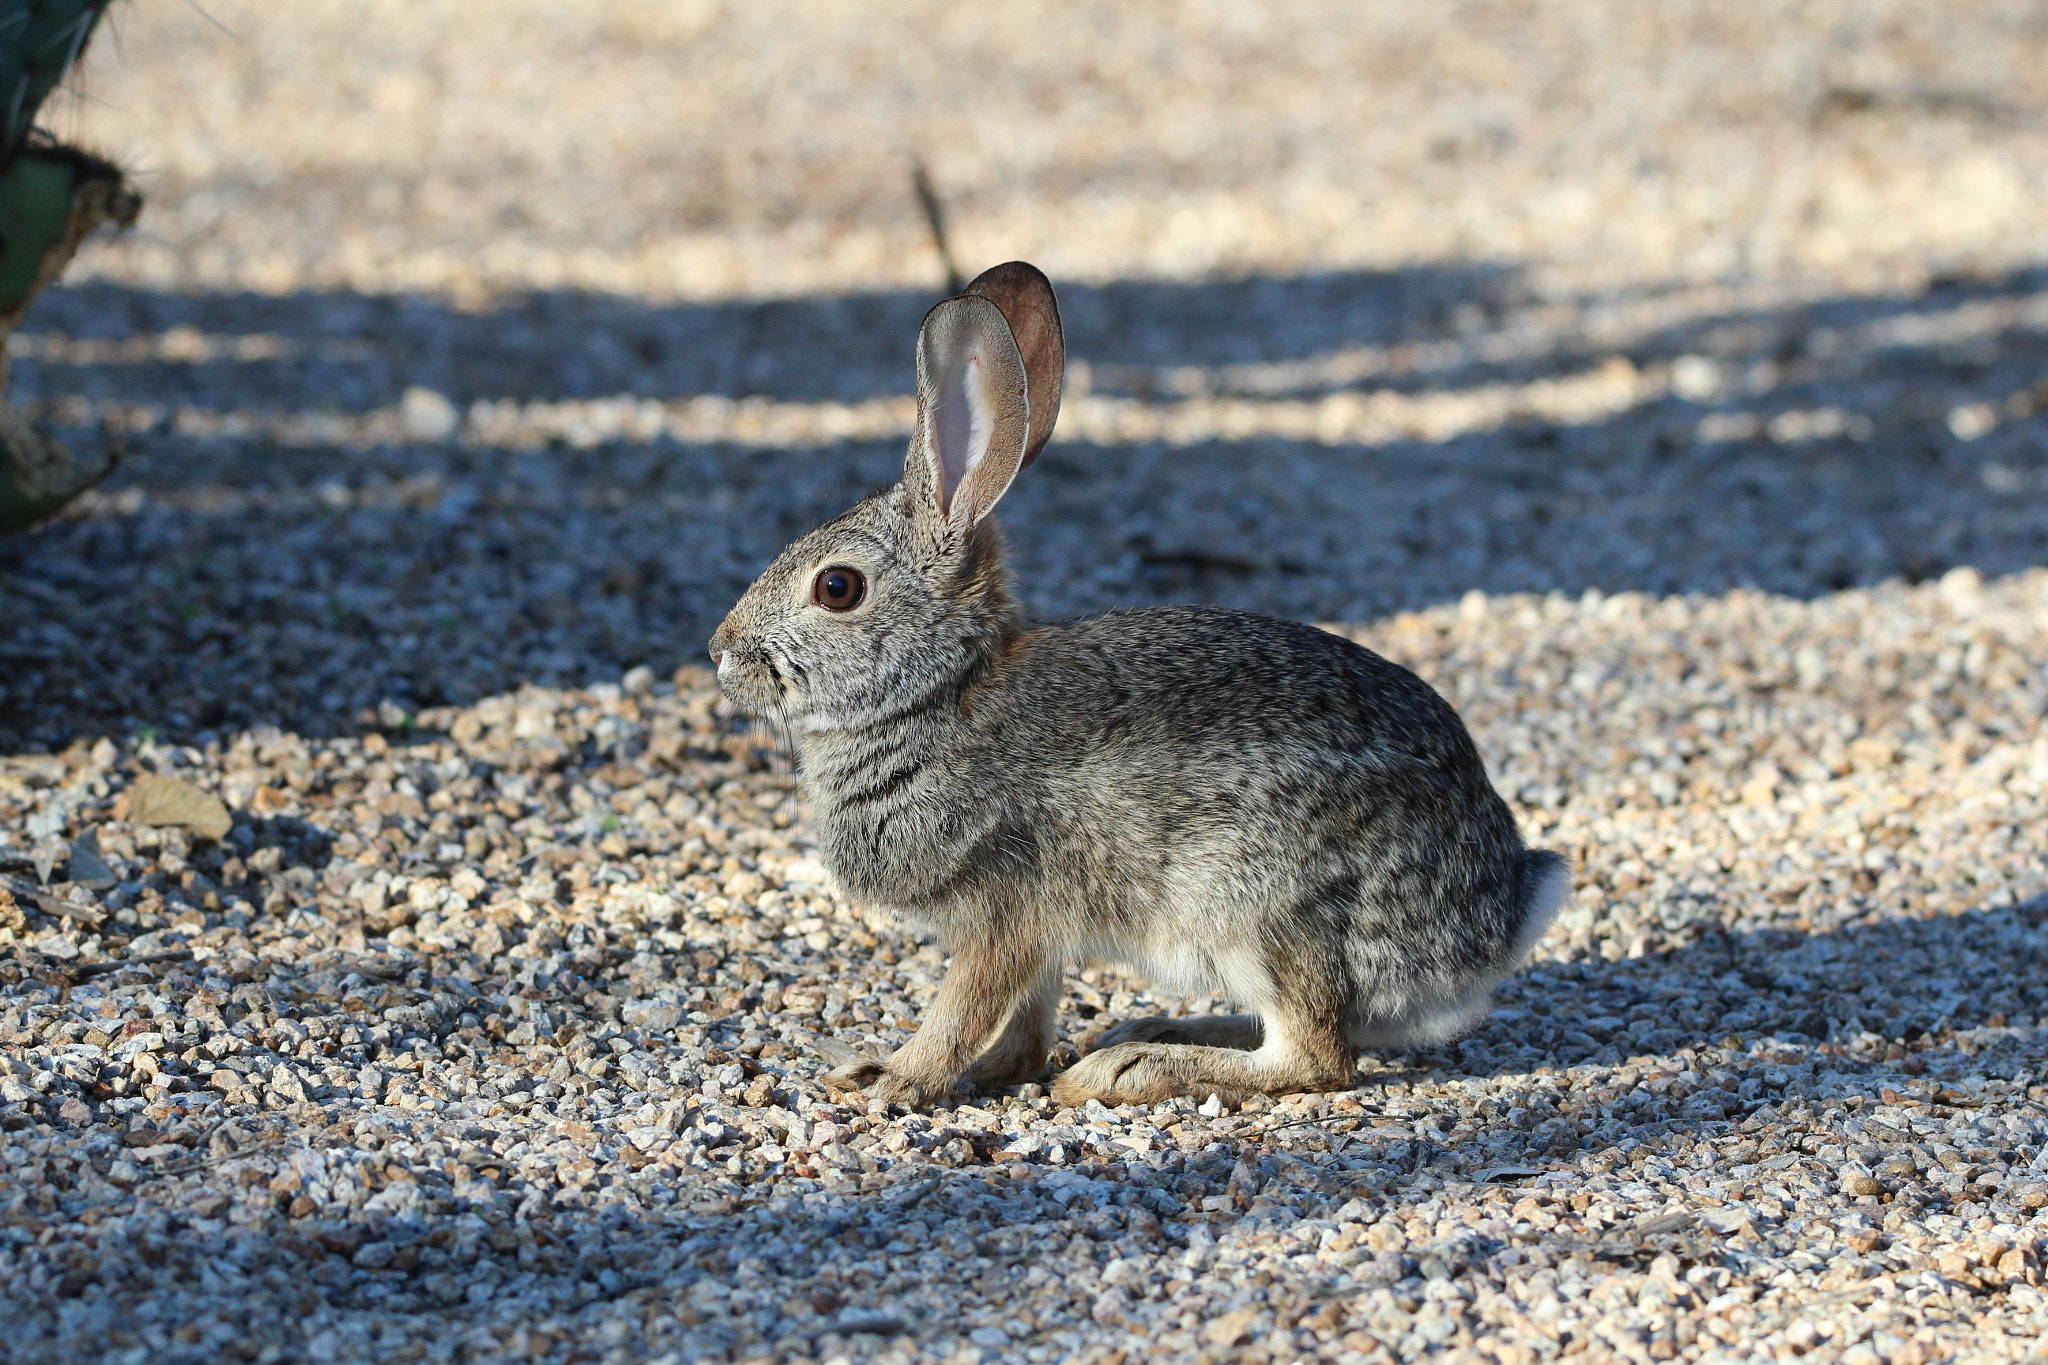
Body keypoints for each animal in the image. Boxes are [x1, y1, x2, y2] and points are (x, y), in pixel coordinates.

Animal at [708, 261, 1569, 1108]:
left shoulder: (1004, 907)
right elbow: (1024, 1018)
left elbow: (965, 1005)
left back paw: (1132, 1066)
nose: (720, 650)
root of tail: (1492, 922)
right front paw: (993, 1072)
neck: (941, 692)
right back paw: (1148, 1030)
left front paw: (891, 1076)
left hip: (1259, 909)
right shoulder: (1034, 935)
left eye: (839, 588)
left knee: (1319, 1056)